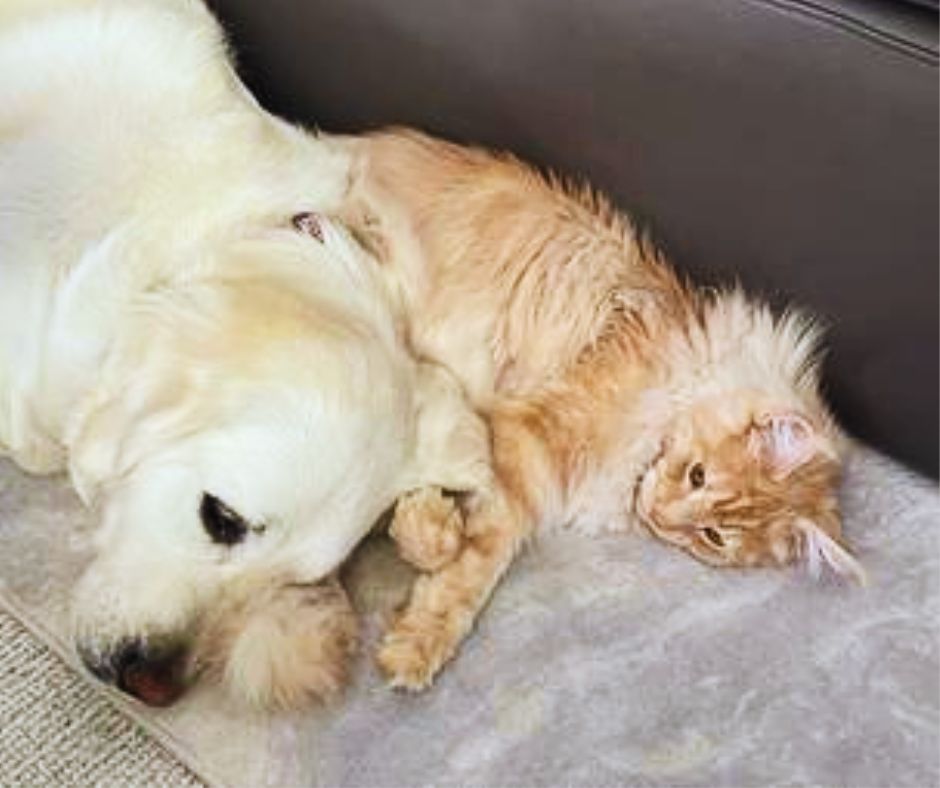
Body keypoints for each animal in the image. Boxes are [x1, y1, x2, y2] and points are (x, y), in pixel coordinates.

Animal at [334, 127, 864, 688]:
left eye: (714, 537)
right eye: (697, 474)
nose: (660, 516)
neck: (679, 372)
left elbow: (453, 543)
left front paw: (421, 541)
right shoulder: (524, 442)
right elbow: (475, 557)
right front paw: (420, 623)